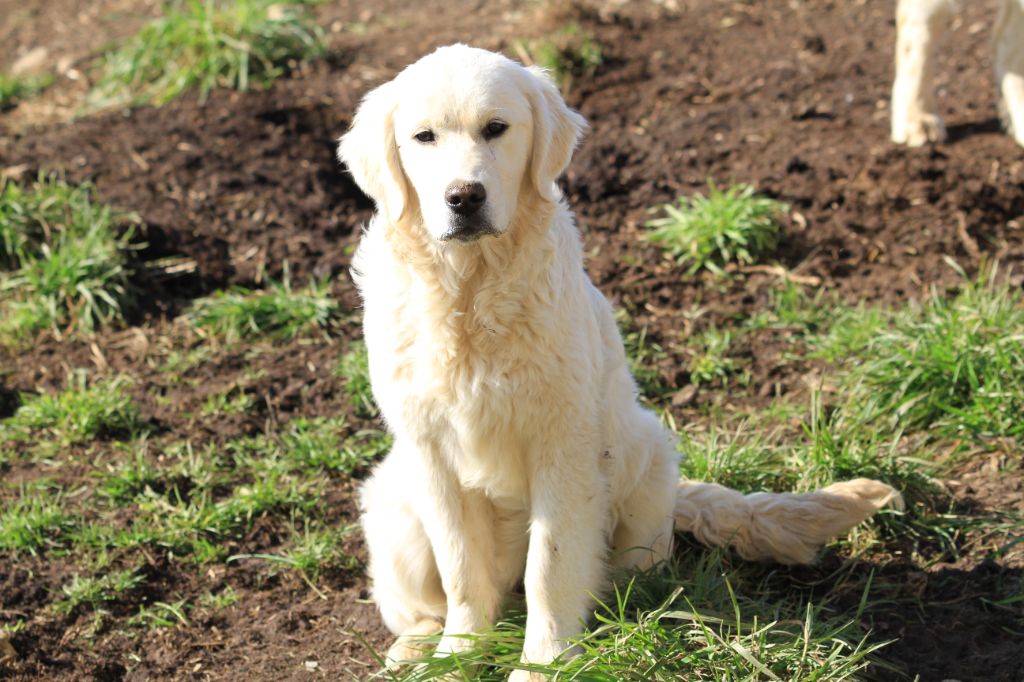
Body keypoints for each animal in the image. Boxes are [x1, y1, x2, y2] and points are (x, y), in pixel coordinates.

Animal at [339, 45, 901, 675]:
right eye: (424, 137)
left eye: (496, 129)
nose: (464, 197)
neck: (471, 289)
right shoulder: (431, 450)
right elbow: (462, 570)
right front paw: (457, 657)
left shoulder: (563, 443)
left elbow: (550, 565)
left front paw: (544, 664)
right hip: (393, 507)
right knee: (423, 599)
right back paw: (413, 650)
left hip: (643, 455)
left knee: (633, 571)